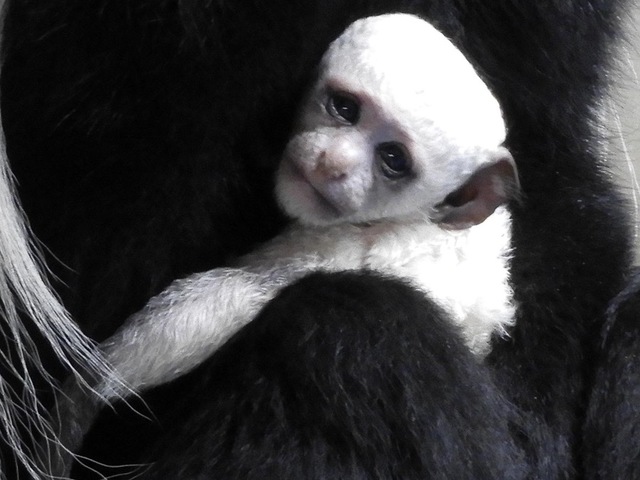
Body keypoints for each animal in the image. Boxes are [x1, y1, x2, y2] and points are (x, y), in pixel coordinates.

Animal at [44, 13, 519, 477]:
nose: (332, 164)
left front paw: (82, 400)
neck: (416, 220)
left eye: (393, 159)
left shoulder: (337, 244)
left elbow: (236, 298)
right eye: (344, 108)